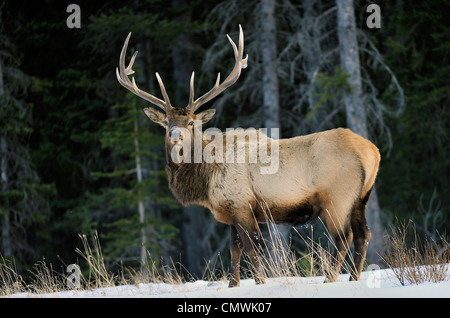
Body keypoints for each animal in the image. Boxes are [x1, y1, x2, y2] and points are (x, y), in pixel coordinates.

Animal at [115, 25, 380, 288]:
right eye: (166, 122)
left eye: (191, 122)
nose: (175, 135)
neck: (205, 179)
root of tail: (372, 151)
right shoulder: (232, 210)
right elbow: (234, 250)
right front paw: (233, 284)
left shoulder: (241, 204)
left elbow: (252, 249)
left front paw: (260, 282)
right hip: (361, 198)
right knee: (364, 235)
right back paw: (354, 278)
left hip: (337, 197)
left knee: (344, 237)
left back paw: (330, 279)